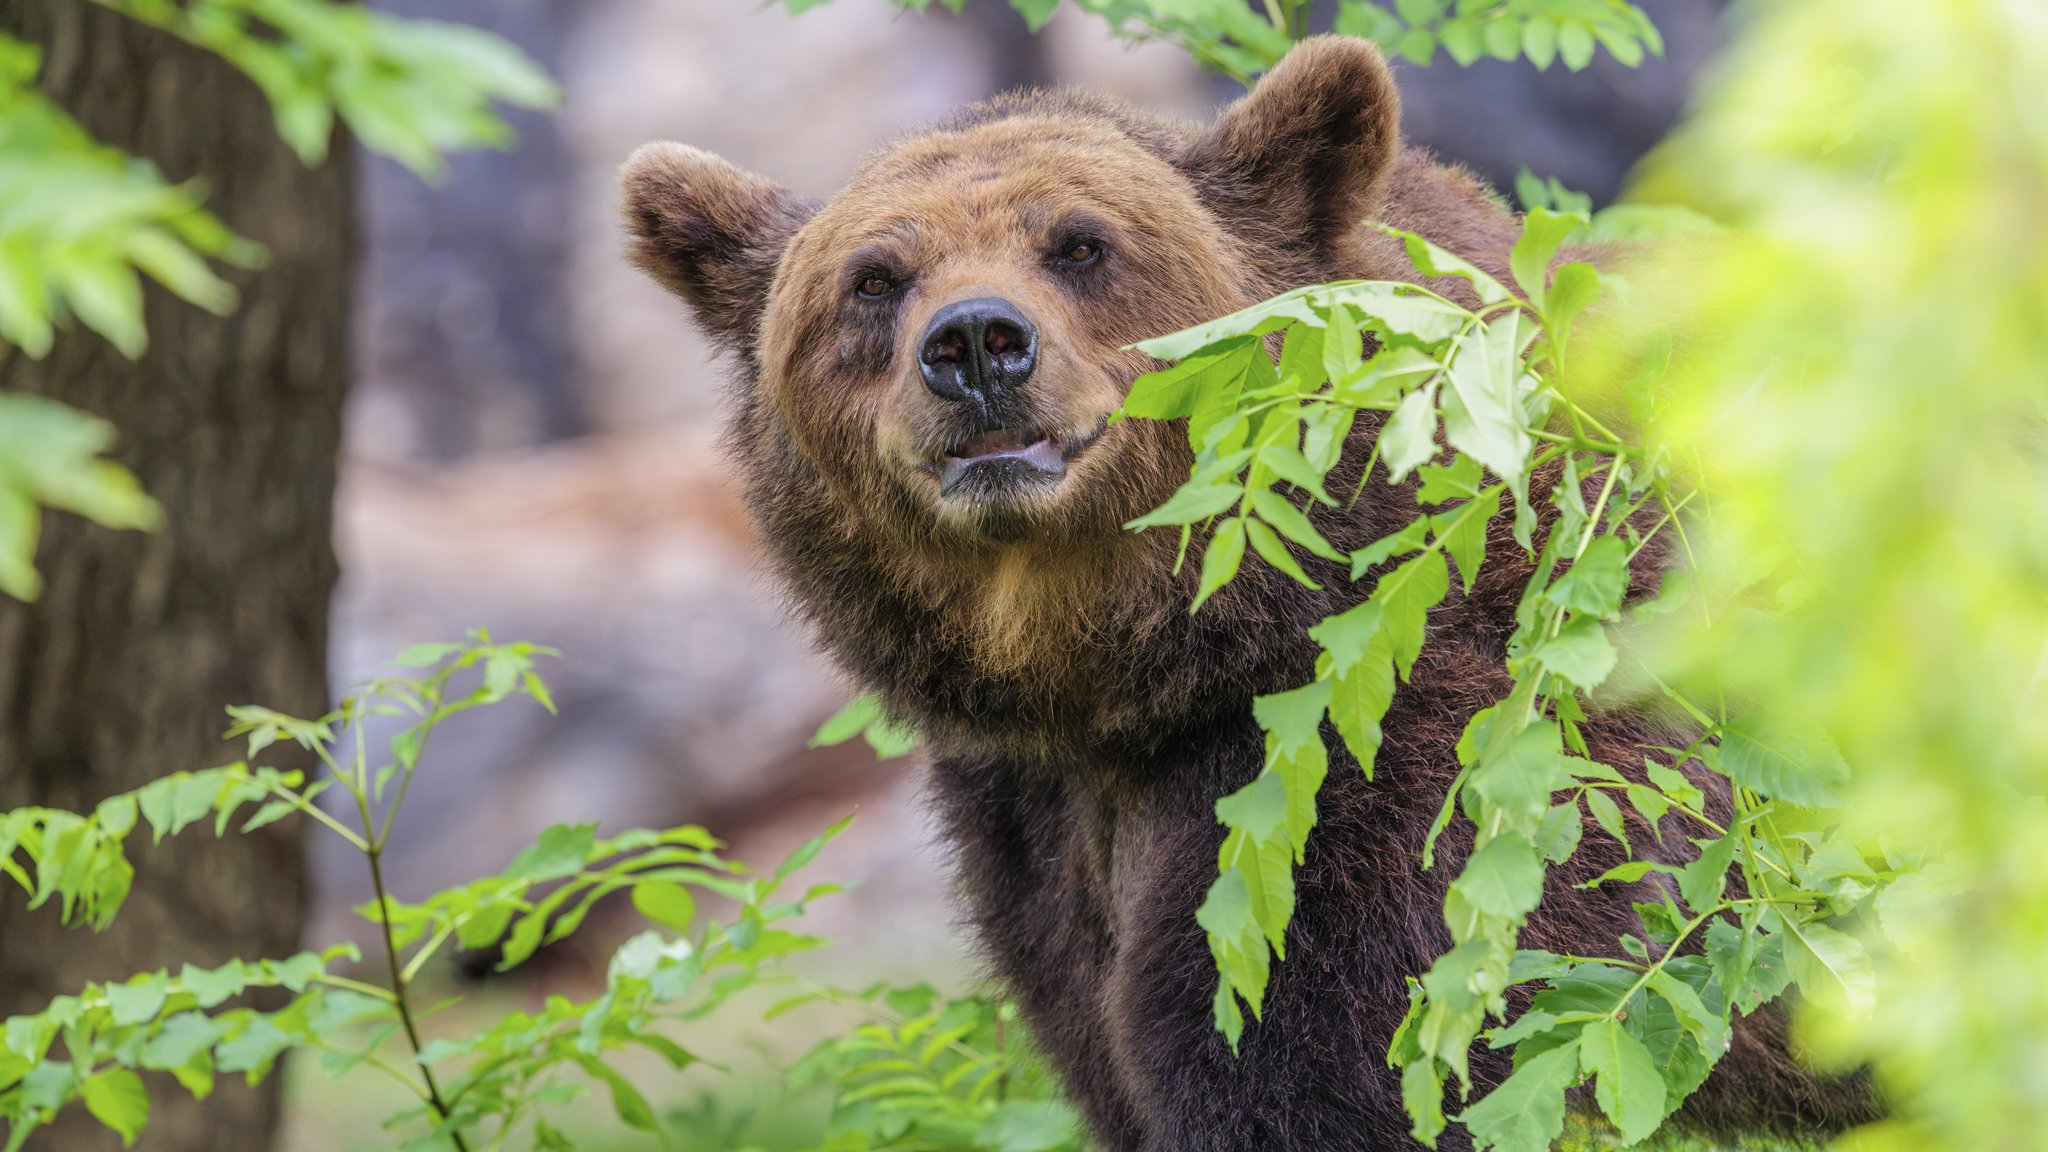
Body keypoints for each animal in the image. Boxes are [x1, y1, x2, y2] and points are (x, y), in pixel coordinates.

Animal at [619, 36, 1877, 1151]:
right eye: (873, 279)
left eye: (1080, 246)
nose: (975, 342)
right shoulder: (1041, 838)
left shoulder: (1388, 769)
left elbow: (1309, 1071)